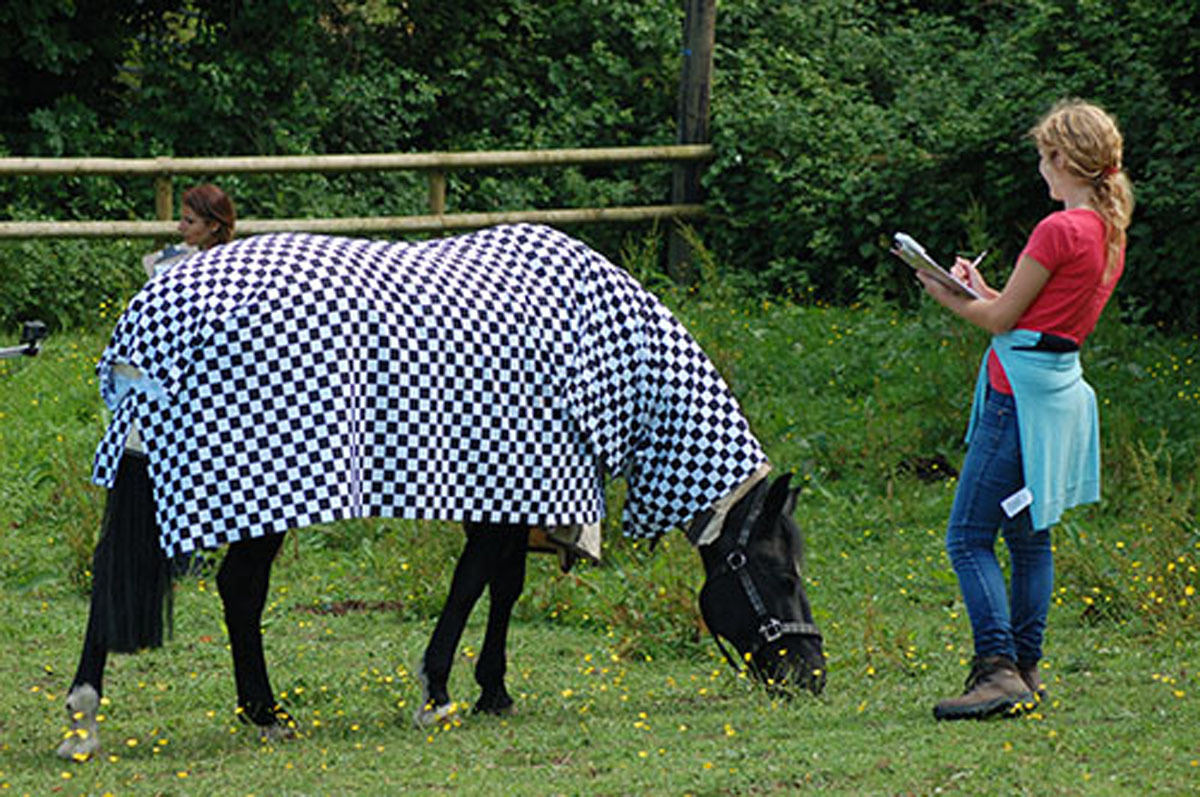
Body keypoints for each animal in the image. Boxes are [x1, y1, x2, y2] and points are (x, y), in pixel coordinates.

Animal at [56, 225, 825, 758]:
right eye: (780, 574)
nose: (811, 677)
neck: (605, 351)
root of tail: (156, 317)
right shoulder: (516, 490)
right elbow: (471, 585)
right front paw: (440, 691)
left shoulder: (516, 497)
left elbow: (503, 586)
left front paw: (494, 689)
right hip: (250, 492)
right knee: (239, 592)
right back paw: (264, 714)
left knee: (120, 583)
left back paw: (90, 718)